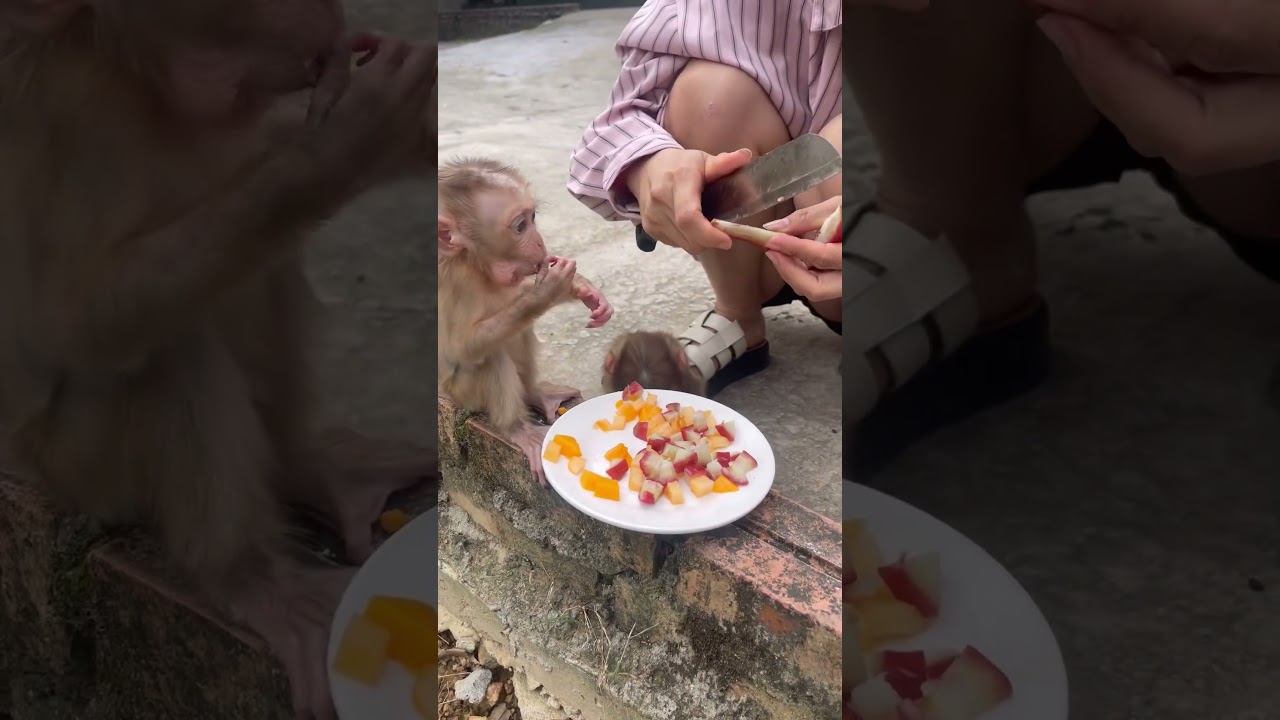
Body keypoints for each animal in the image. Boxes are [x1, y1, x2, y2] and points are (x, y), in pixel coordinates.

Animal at [0, 3, 435, 718]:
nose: (328, 25)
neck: (128, 71)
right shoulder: (63, 102)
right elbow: (73, 319)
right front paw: (350, 141)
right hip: (82, 468)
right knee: (166, 350)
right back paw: (252, 577)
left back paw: (308, 468)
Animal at [438, 157, 614, 485]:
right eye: (521, 226)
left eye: (533, 217)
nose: (540, 242)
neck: (476, 265)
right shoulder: (454, 283)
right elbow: (459, 349)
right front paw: (546, 291)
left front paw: (581, 287)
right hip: (463, 394)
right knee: (490, 355)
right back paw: (516, 428)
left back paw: (535, 393)